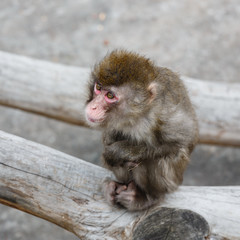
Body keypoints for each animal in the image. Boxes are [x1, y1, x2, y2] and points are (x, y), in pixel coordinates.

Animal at [85, 49, 198, 211]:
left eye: (110, 95)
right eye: (98, 88)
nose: (93, 106)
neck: (136, 116)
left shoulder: (165, 116)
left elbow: (182, 142)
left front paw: (119, 152)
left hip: (173, 181)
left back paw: (149, 198)